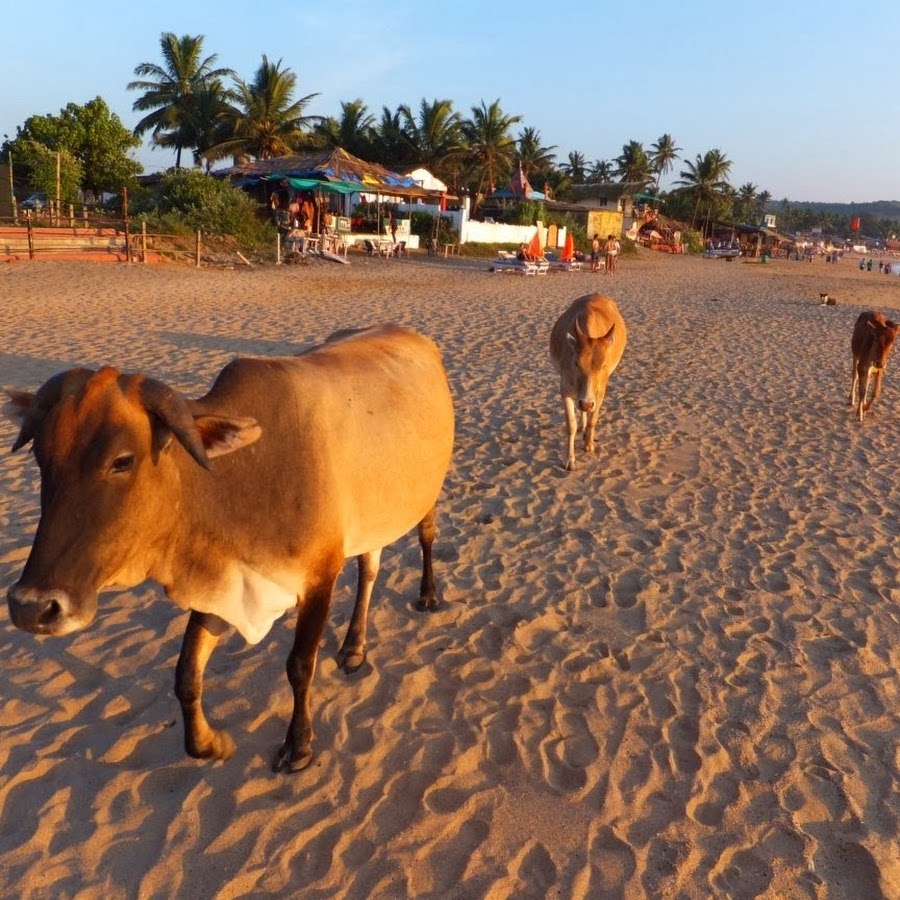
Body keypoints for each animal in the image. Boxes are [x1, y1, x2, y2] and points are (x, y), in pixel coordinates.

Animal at [5, 326, 458, 772]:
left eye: (122, 461)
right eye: (42, 458)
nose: (31, 607)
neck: (235, 480)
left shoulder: (319, 577)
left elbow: (299, 665)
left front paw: (299, 746)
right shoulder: (224, 584)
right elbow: (186, 674)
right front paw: (211, 743)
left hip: (426, 494)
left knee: (423, 539)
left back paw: (427, 595)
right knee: (369, 566)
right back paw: (353, 647)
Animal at [548, 294, 624, 472]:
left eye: (604, 365)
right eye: (576, 363)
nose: (586, 403)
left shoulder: (600, 391)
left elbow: (593, 419)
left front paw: (589, 444)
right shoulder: (565, 389)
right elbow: (571, 425)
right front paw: (570, 460)